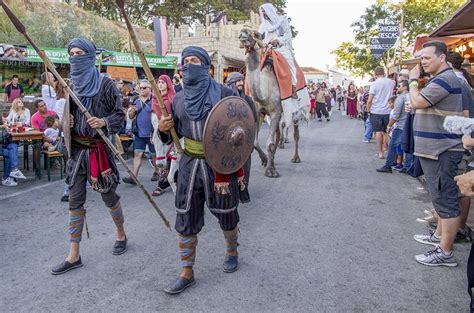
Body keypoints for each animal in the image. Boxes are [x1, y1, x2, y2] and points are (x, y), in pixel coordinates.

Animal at [237, 28, 312, 178]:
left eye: (256, 34)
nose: (243, 32)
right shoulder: (259, 112)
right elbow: (256, 142)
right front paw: (265, 160)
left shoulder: (275, 112)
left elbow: (270, 143)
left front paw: (270, 170)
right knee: (278, 135)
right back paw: (274, 159)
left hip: (296, 112)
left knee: (295, 135)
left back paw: (295, 158)